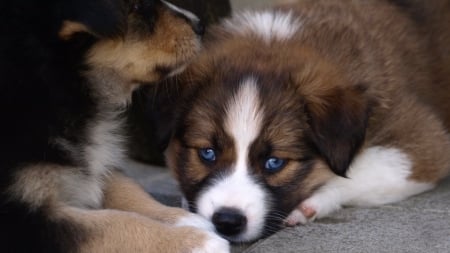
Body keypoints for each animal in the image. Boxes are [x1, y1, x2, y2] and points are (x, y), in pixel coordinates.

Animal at [0, 0, 230, 253]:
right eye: (136, 7)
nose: (200, 25)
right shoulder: (21, 218)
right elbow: (111, 224)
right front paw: (197, 242)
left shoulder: (95, 162)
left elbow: (125, 188)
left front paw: (185, 219)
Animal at [165, 0, 450, 243]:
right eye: (207, 153)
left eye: (275, 162)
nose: (227, 221)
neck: (276, 40)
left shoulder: (423, 143)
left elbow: (354, 173)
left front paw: (312, 204)